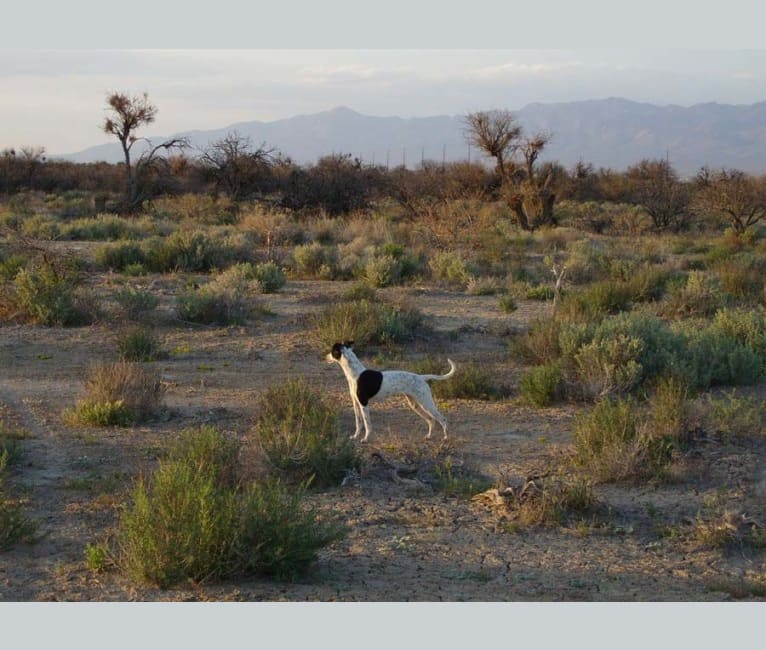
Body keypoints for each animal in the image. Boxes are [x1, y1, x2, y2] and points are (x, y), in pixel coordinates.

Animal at [324, 340, 456, 440]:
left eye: (332, 351)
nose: (325, 357)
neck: (355, 373)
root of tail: (421, 377)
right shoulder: (356, 403)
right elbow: (358, 423)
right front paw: (355, 436)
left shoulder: (364, 404)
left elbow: (367, 424)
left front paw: (365, 438)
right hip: (415, 405)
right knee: (431, 420)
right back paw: (429, 436)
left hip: (426, 403)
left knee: (442, 419)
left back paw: (445, 437)